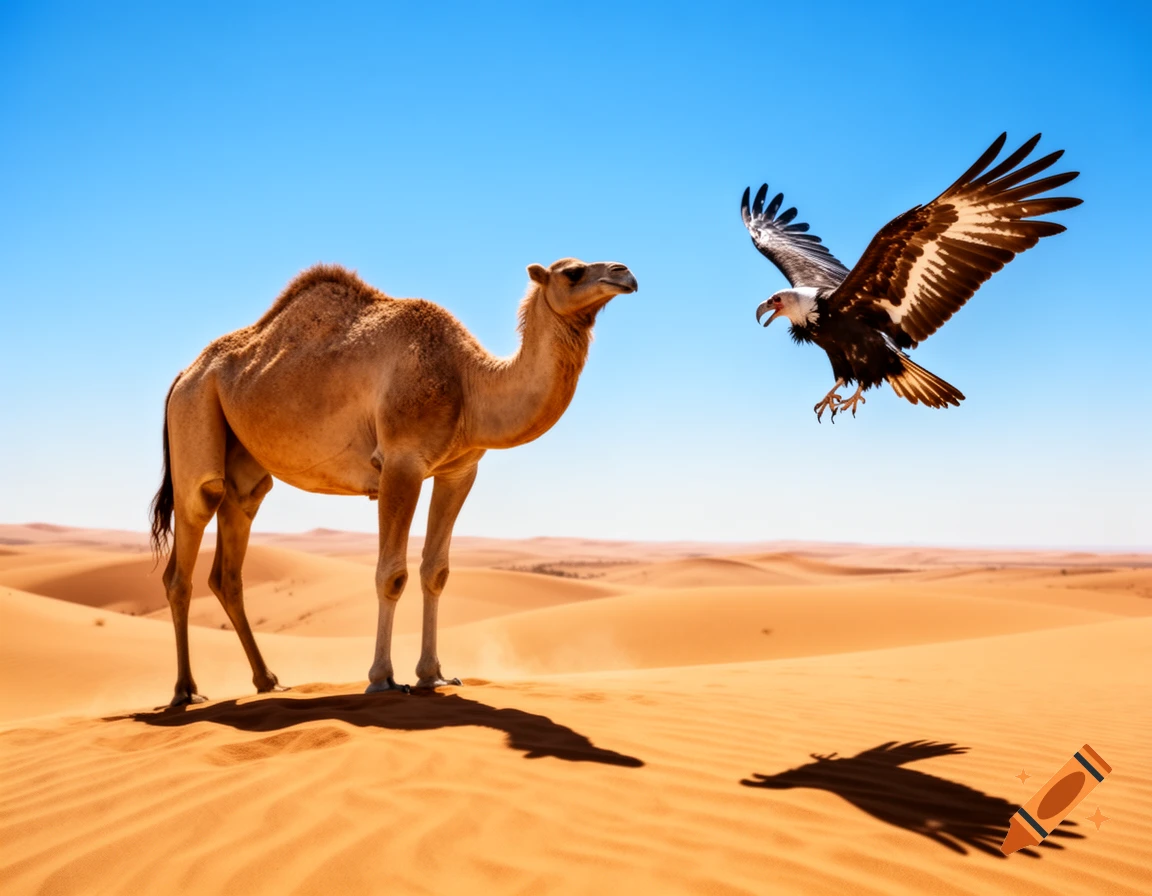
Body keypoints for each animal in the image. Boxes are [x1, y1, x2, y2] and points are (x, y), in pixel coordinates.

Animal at [149, 257, 637, 706]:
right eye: (573, 272)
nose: (625, 274)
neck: (468, 382)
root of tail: (183, 374)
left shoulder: (458, 470)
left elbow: (435, 571)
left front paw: (433, 675)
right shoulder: (401, 462)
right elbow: (392, 574)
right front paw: (383, 677)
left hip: (244, 466)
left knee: (229, 566)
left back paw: (268, 681)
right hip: (196, 415)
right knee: (186, 550)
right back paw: (185, 692)